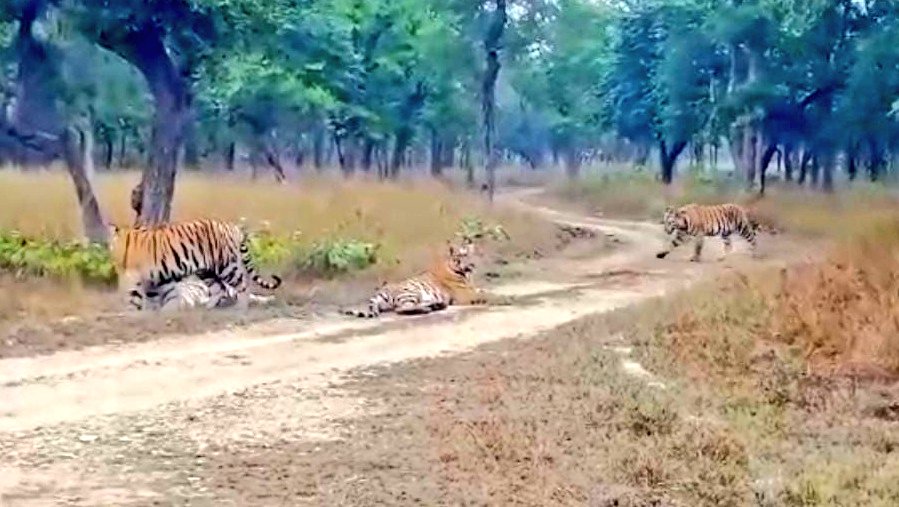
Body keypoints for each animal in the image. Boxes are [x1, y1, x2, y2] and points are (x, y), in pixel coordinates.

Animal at [108, 218, 282, 310]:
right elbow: (159, 298)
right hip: (206, 271)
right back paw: (207, 308)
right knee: (218, 289)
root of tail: (233, 227)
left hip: (226, 266)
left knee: (244, 286)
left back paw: (240, 307)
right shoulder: (158, 278)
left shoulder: (133, 277)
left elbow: (134, 298)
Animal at [342, 237, 490, 318]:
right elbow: (487, 295)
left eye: (471, 254)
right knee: (401, 309)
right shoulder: (465, 293)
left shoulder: (472, 289)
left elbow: (485, 291)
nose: (471, 264)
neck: (464, 273)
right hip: (412, 291)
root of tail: (380, 291)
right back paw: (429, 308)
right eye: (461, 256)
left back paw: (437, 305)